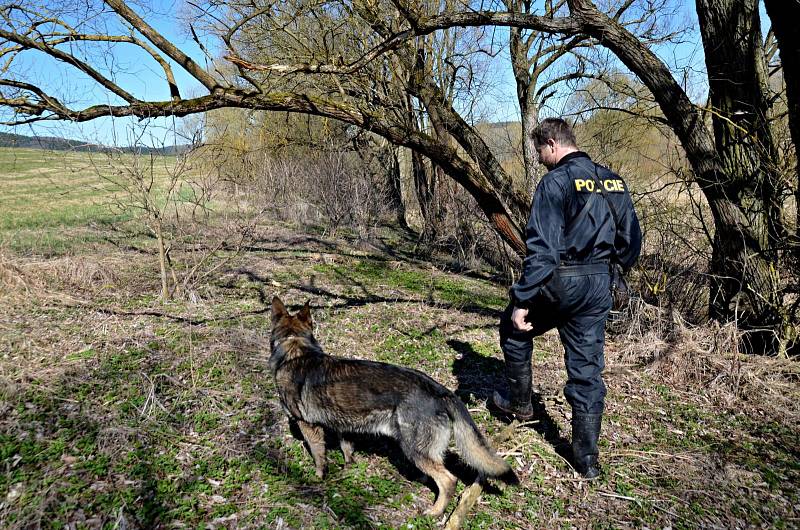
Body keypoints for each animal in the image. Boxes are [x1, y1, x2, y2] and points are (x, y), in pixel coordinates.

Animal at [268, 296, 520, 516]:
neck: (294, 348)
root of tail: (441, 391)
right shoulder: (343, 424)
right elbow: (347, 447)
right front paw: (349, 467)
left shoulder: (308, 426)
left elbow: (319, 455)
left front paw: (319, 477)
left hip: (413, 447)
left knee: (449, 480)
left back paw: (435, 512)